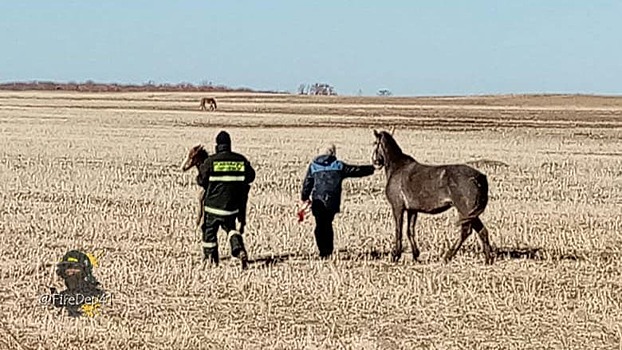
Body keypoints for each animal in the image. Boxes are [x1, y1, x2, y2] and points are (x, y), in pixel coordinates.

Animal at [370, 130, 498, 264]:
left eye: (374, 143)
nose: (375, 161)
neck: (397, 167)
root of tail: (480, 177)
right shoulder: (412, 210)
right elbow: (410, 231)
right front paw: (416, 255)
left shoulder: (397, 207)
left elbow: (398, 230)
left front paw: (396, 255)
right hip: (471, 214)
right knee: (482, 231)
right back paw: (488, 259)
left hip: (464, 211)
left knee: (466, 231)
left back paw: (448, 256)